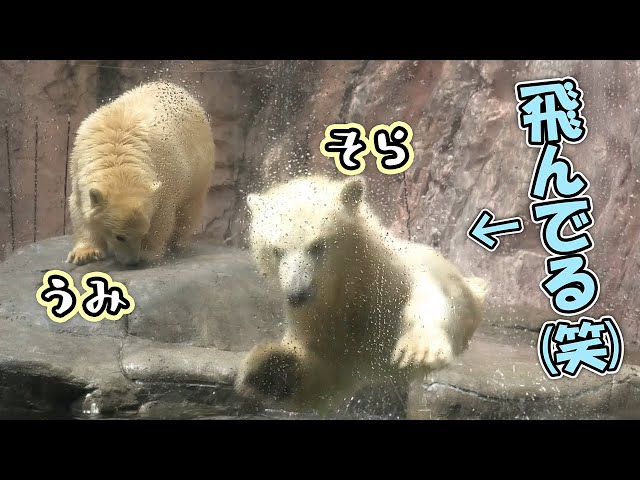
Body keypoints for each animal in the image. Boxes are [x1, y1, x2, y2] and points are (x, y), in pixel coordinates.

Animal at [66, 81, 215, 266]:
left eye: (143, 233)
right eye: (120, 237)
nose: (132, 262)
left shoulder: (164, 178)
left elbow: (162, 215)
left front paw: (148, 253)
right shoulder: (79, 167)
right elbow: (79, 208)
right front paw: (85, 254)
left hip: (200, 165)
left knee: (190, 205)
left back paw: (180, 243)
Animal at [235, 175, 488, 416]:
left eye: (317, 245)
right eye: (276, 251)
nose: (297, 294)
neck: (350, 288)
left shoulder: (391, 279)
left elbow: (429, 299)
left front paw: (418, 350)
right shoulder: (319, 320)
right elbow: (322, 373)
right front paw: (270, 369)